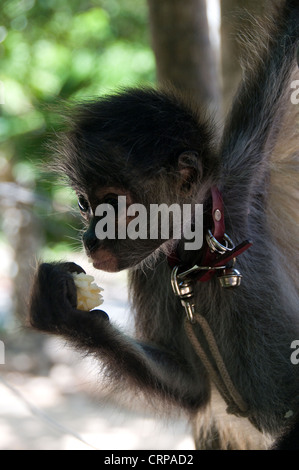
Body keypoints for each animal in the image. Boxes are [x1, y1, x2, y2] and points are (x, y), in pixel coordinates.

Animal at [28, 0, 299, 452]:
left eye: (113, 205)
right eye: (84, 204)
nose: (89, 239)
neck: (202, 255)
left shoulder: (246, 176)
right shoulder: (150, 267)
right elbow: (192, 388)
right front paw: (66, 315)